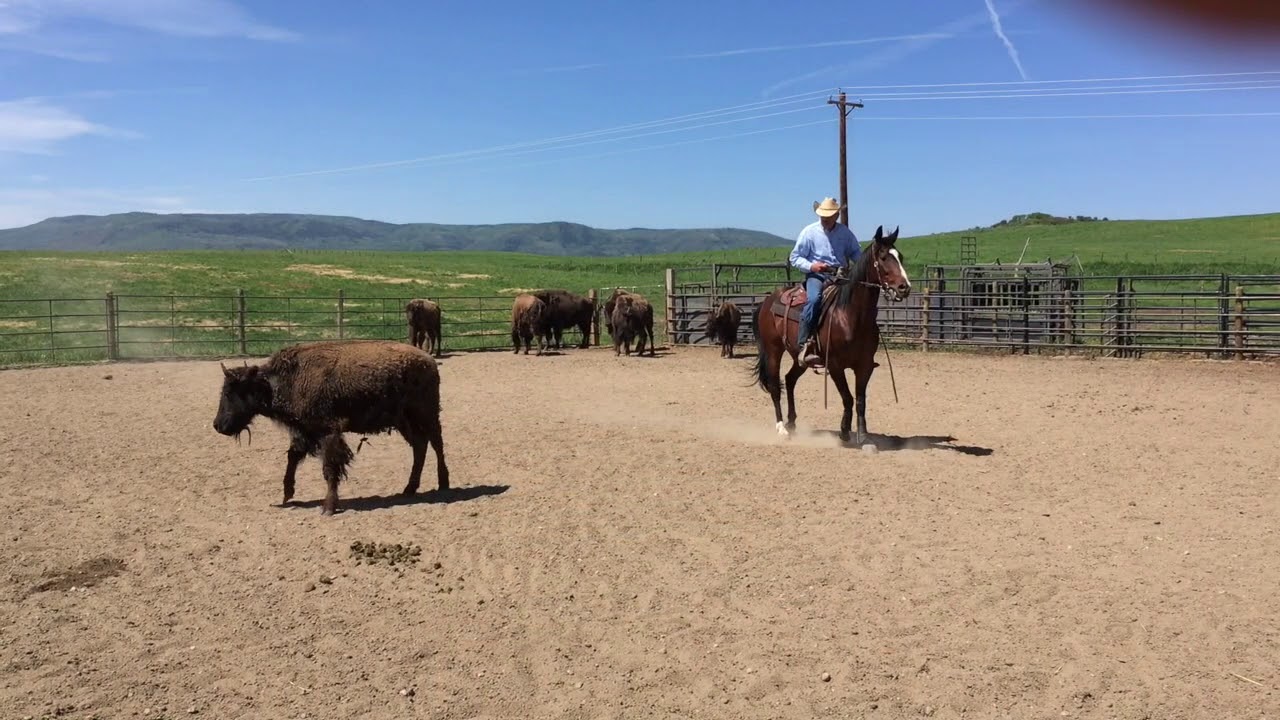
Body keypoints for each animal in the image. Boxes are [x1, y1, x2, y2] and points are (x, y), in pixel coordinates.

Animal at [212, 339, 449, 516]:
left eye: (230, 392)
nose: (217, 425)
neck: (285, 379)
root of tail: (429, 361)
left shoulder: (327, 433)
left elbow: (329, 468)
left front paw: (328, 507)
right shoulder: (305, 432)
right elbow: (293, 456)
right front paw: (287, 494)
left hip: (427, 415)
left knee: (436, 444)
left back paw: (443, 484)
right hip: (404, 422)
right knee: (420, 446)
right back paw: (409, 488)